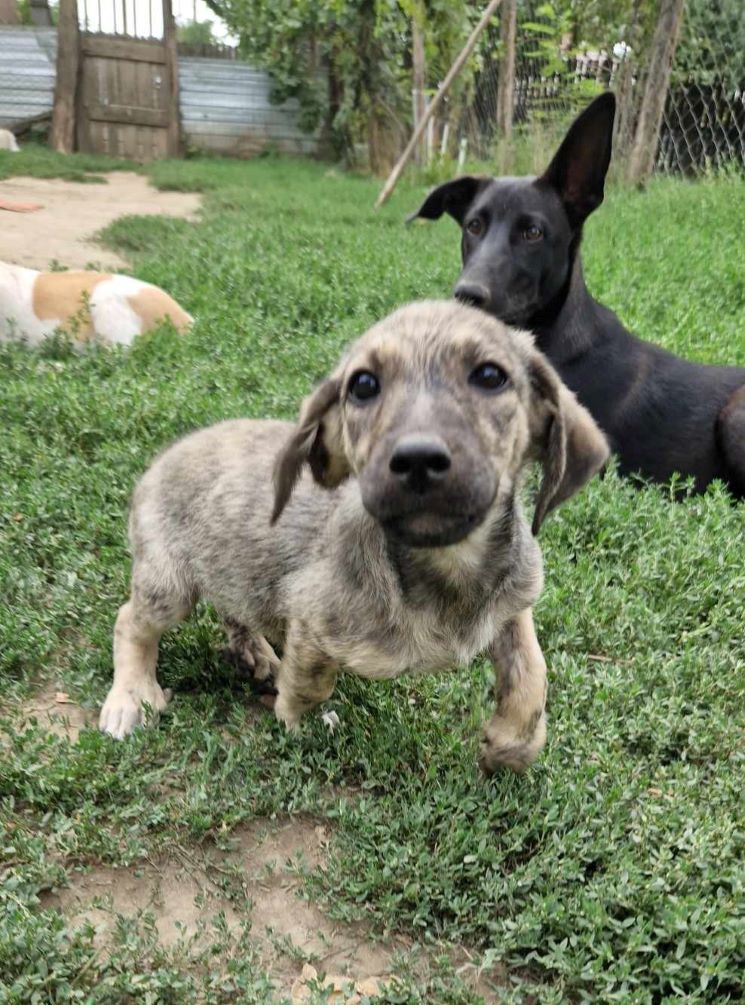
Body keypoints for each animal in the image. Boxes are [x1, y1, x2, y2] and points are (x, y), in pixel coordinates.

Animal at [99, 301, 607, 771]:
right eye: (363, 385)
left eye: (489, 375)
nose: (417, 459)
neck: (447, 567)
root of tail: (162, 458)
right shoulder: (312, 619)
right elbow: (310, 683)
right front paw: (296, 721)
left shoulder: (513, 603)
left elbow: (532, 672)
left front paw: (511, 745)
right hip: (169, 584)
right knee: (130, 622)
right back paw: (131, 696)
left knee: (234, 607)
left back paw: (254, 651)